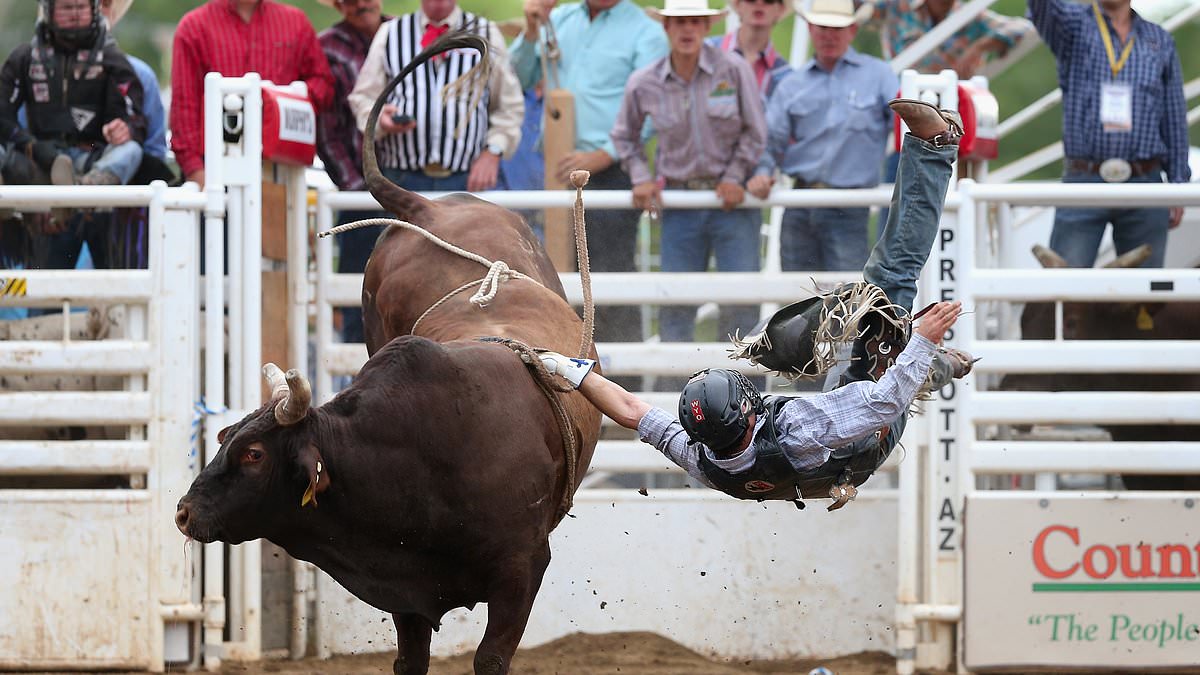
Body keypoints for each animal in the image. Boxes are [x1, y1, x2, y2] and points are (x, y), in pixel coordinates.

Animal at [175, 28, 600, 672]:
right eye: (223, 437)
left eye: (252, 453)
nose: (184, 511)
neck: (416, 453)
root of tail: (426, 206)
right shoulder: (404, 586)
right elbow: (410, 658)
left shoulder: (523, 568)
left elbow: (491, 657)